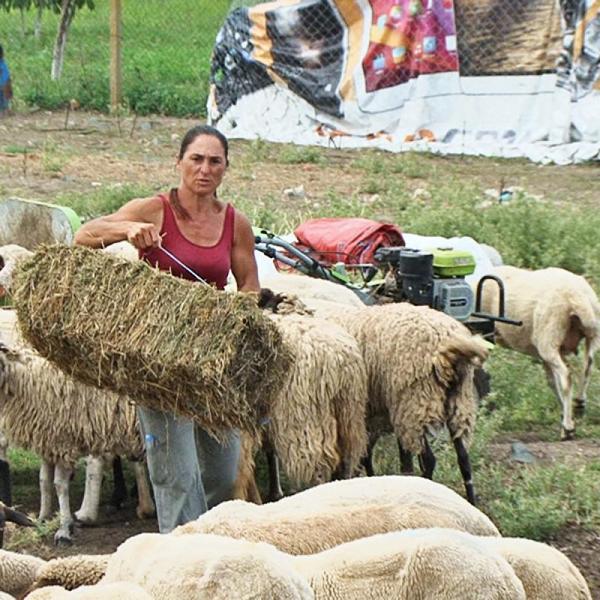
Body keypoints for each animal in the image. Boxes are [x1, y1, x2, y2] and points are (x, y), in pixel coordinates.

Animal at [0, 340, 156, 548]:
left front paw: (64, 529)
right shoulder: (49, 441)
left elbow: (59, 485)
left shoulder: (64, 441)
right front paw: (42, 518)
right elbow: (44, 480)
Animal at [476, 268, 596, 440]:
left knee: (566, 376)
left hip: (549, 338)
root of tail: (575, 296)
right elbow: (552, 382)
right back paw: (579, 404)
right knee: (587, 368)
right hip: (591, 335)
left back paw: (567, 428)